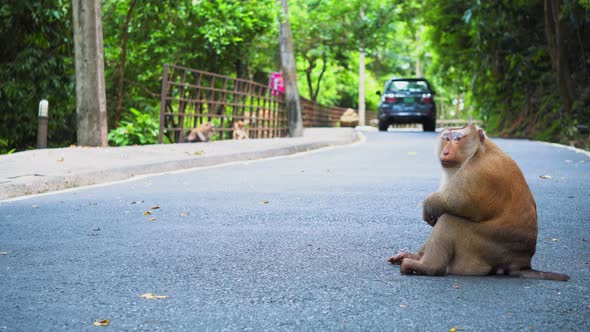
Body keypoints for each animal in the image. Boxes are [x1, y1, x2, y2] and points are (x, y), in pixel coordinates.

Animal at [390, 124, 572, 280]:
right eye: (446, 139)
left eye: (457, 139)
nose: (446, 152)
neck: (479, 151)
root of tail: (522, 263)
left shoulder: (478, 172)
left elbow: (457, 202)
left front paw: (429, 204)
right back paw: (416, 257)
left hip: (481, 249)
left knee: (450, 220)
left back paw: (428, 267)